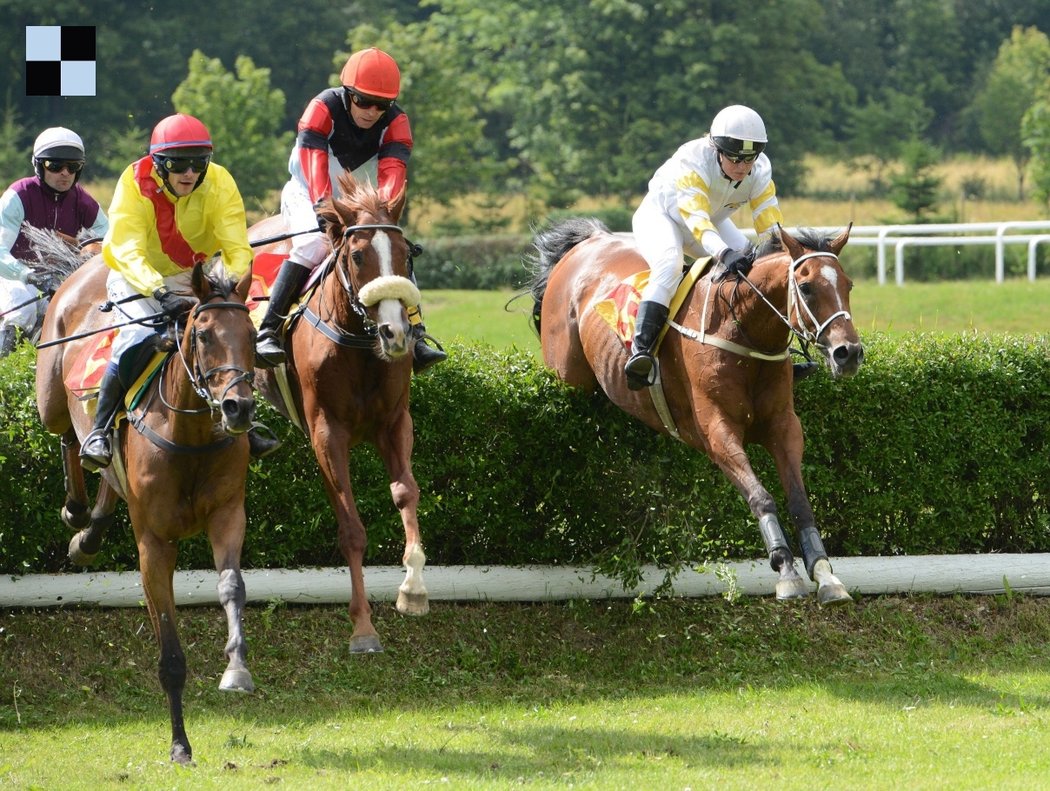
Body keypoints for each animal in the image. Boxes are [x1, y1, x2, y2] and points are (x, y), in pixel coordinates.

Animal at [529, 219, 865, 600]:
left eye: (848, 285)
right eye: (806, 288)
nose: (848, 353)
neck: (742, 330)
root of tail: (589, 241)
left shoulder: (784, 427)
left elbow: (800, 502)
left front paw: (825, 574)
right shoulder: (717, 431)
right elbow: (761, 497)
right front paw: (786, 571)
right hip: (566, 375)